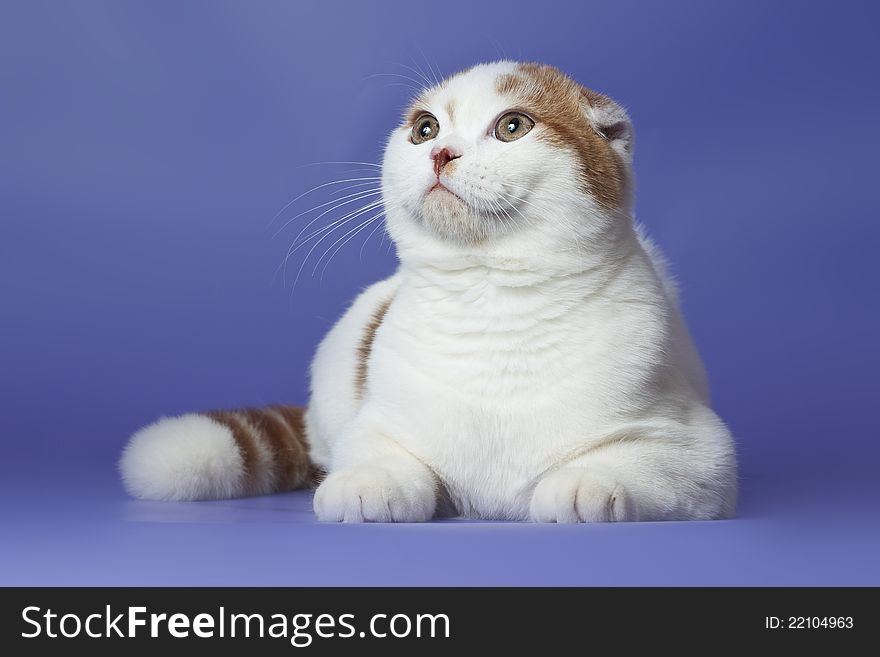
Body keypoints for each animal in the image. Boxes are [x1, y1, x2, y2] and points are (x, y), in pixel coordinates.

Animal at [117, 61, 736, 524]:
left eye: (513, 126)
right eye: (425, 129)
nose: (441, 154)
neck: (493, 300)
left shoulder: (700, 453)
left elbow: (630, 465)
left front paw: (585, 484)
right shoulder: (376, 422)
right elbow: (381, 456)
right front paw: (369, 484)